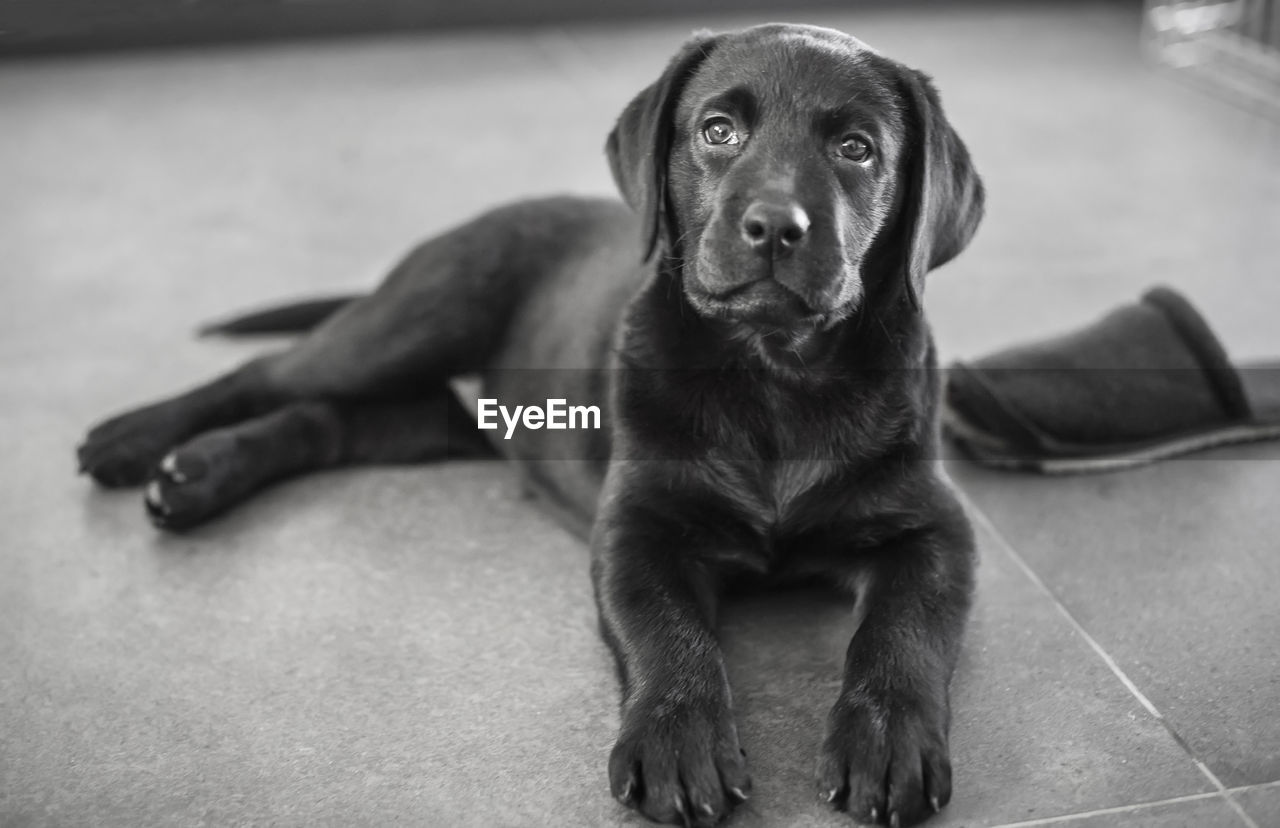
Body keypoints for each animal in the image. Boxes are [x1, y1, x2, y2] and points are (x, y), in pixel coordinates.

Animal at [77, 24, 977, 828]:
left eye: (857, 149)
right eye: (718, 131)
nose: (776, 227)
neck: (773, 374)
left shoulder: (933, 527)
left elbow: (904, 632)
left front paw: (887, 740)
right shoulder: (636, 530)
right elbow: (668, 634)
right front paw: (678, 742)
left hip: (432, 419)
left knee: (322, 421)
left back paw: (192, 477)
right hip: (423, 316)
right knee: (272, 373)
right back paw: (137, 443)